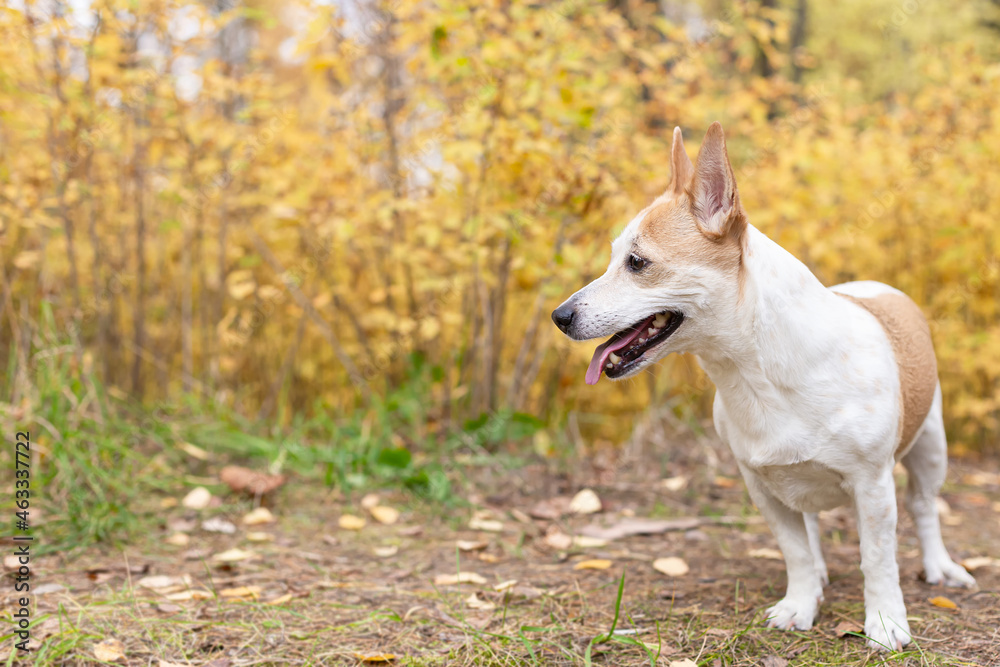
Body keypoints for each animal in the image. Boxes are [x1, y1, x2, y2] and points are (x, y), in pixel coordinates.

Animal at [552, 124, 972, 652]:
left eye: (637, 263)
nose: (559, 316)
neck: (752, 373)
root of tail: (877, 288)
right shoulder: (762, 486)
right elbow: (795, 550)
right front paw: (800, 604)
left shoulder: (873, 485)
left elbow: (878, 558)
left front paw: (885, 623)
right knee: (811, 524)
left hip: (931, 446)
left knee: (925, 506)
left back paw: (941, 568)